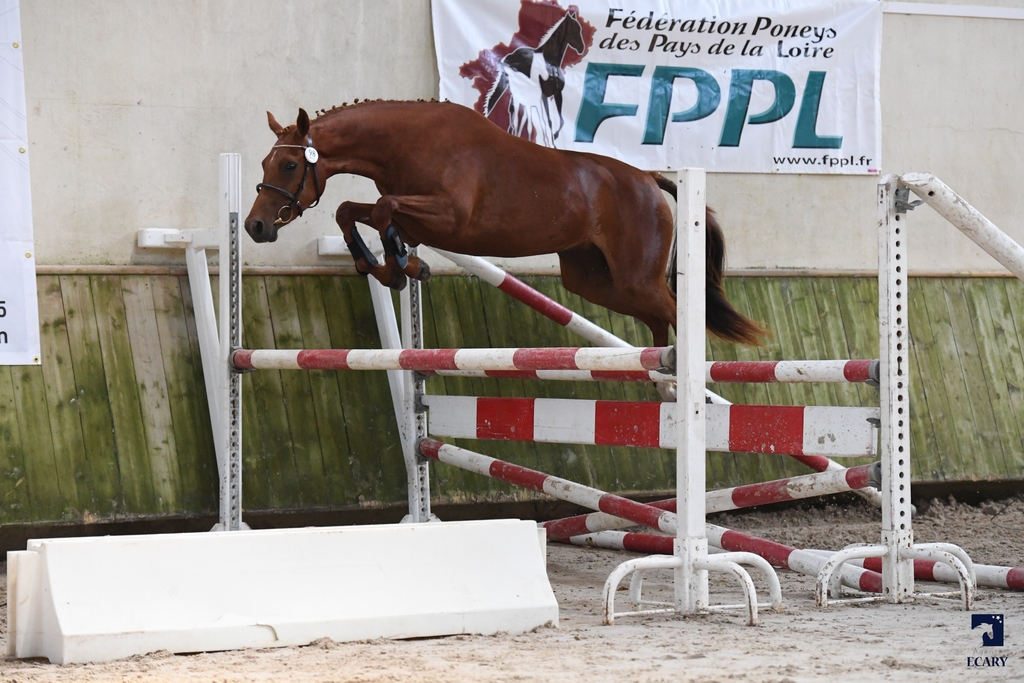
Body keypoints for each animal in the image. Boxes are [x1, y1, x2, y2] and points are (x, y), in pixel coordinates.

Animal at [243, 102, 765, 348]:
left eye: (289, 166)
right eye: (266, 163)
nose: (255, 227)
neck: (407, 142)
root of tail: (650, 179)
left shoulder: (448, 217)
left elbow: (384, 208)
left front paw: (400, 266)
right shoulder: (416, 215)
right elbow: (351, 210)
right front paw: (388, 264)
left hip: (636, 277)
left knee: (677, 314)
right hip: (592, 281)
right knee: (659, 319)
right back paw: (661, 381)